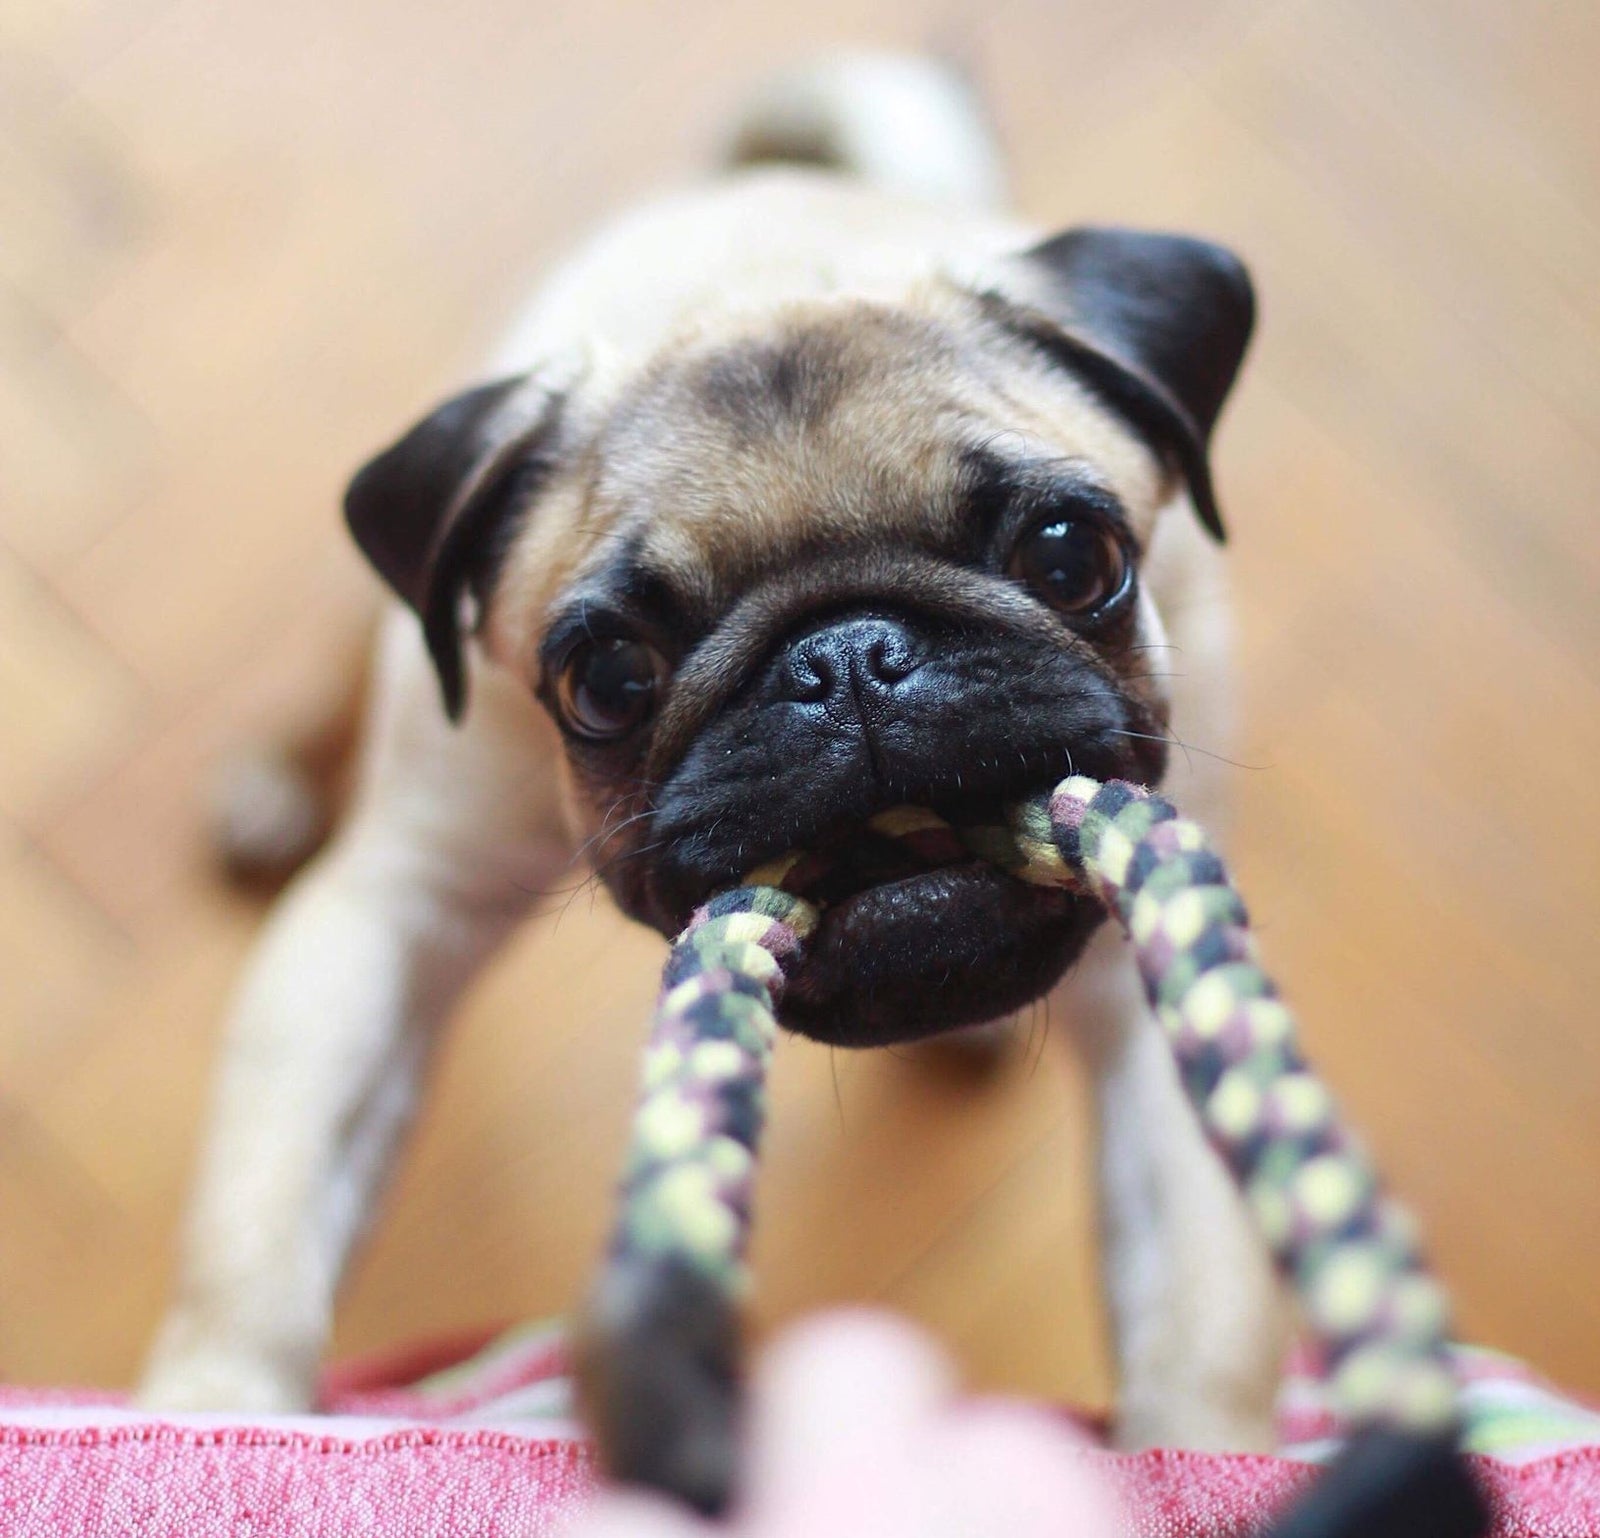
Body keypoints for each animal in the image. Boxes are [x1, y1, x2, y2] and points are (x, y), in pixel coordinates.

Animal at [140, 51, 1286, 1465]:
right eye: (607, 681)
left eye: (1072, 556)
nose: (848, 659)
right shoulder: (396, 909)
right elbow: (263, 1217)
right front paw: (212, 1407)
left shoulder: (1151, 979)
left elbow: (1201, 1288)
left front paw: (1207, 1455)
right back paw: (281, 778)